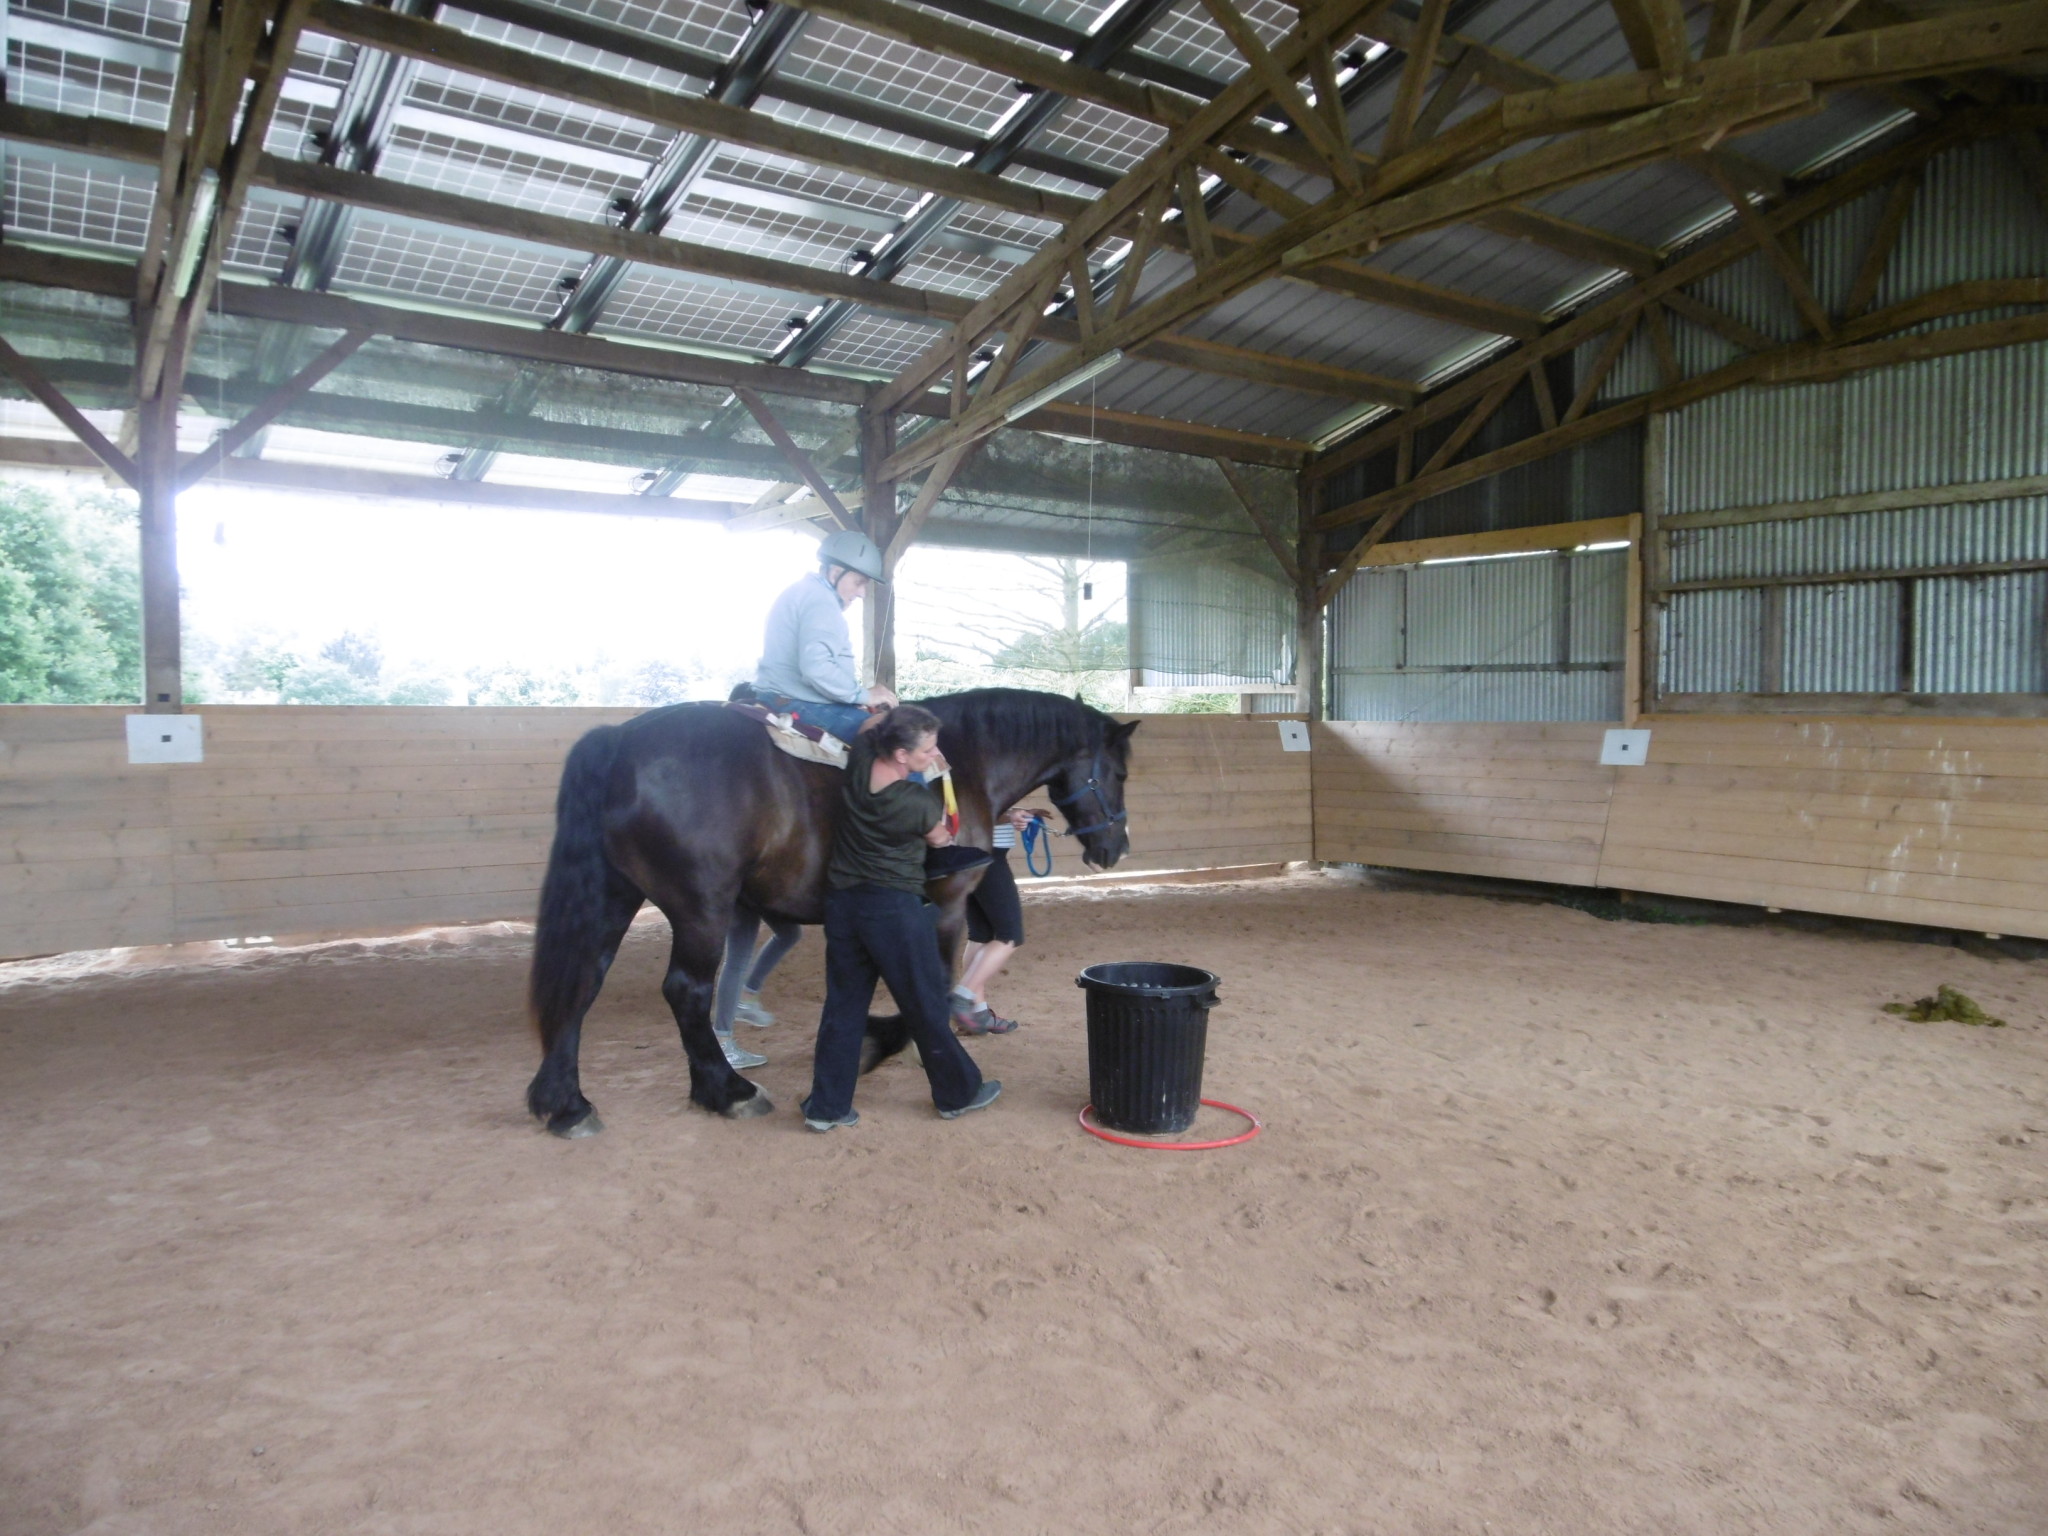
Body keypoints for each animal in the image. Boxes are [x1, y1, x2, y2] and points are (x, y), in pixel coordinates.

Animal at [525, 688, 1138, 1137]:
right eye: (1120, 774)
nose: (1115, 849)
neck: (965, 762)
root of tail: (620, 740)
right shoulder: (944, 907)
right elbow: (935, 984)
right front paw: (889, 1045)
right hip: (702, 908)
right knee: (686, 992)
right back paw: (726, 1091)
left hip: (615, 897)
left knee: (582, 983)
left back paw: (565, 1104)